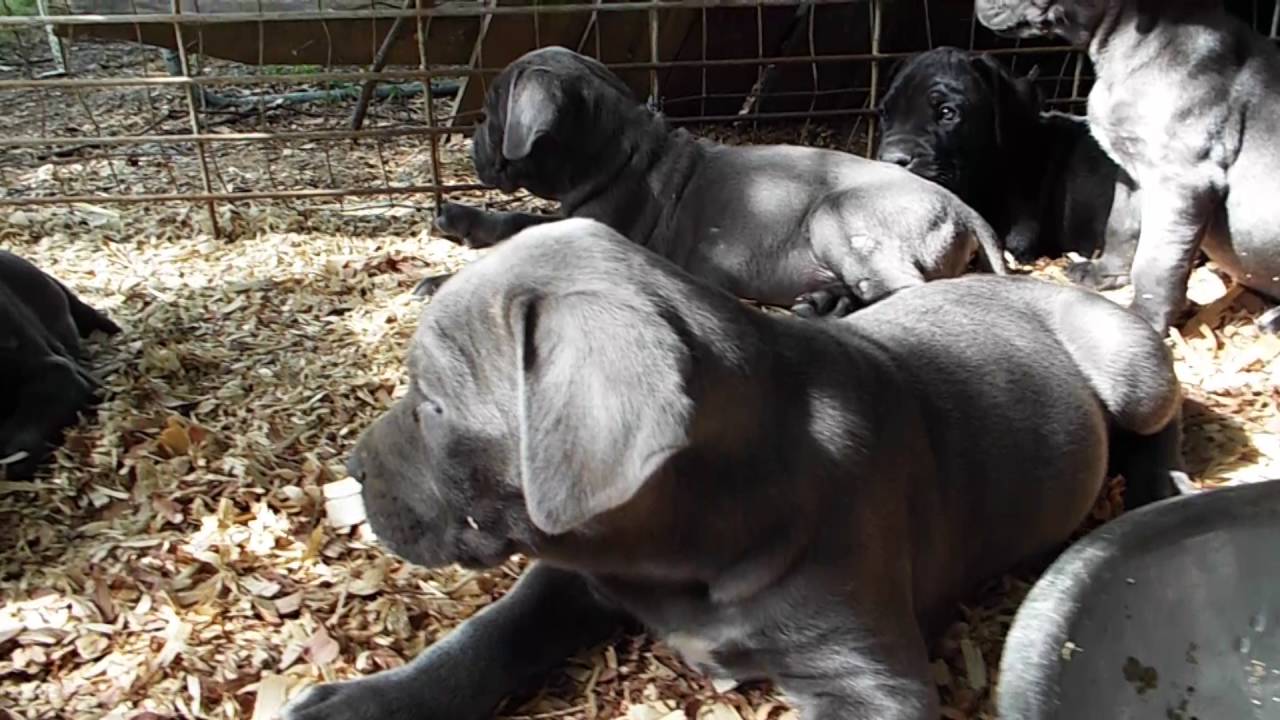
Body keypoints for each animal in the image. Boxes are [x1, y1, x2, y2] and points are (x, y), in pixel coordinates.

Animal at [285, 219, 1182, 717]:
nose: (351, 467)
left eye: (433, 404)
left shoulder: (867, 677)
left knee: (1158, 424)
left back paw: (1158, 490)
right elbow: (487, 634)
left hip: (1126, 365)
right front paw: (363, 703)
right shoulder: (574, 571)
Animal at [424, 44, 1003, 313]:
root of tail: (965, 209)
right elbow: (521, 219)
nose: (472, 145)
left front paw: (439, 281)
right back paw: (823, 304)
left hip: (836, 216)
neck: (615, 154)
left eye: (489, 114)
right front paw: (459, 218)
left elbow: (526, 237)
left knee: (904, 290)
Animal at [977, 0, 1280, 330]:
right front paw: (1104, 272)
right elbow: (1120, 227)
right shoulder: (1131, 174)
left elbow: (1156, 264)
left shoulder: (1179, 182)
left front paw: (1143, 319)